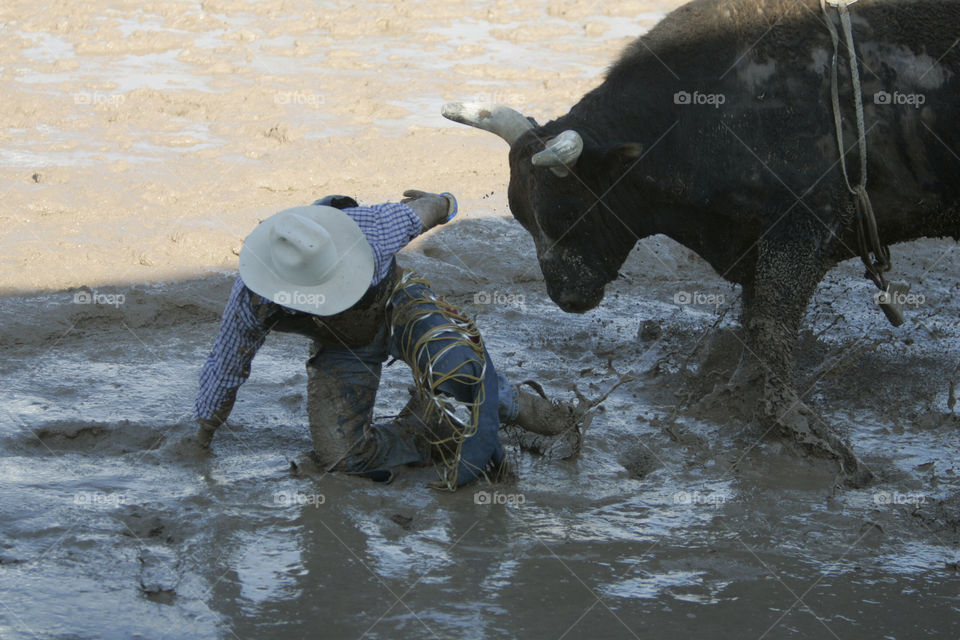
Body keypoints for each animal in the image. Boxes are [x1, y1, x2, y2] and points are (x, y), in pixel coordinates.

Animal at [442, 0, 960, 485]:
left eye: (568, 211)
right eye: (520, 214)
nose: (564, 295)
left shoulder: (803, 228)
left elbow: (771, 324)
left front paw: (795, 424)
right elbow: (754, 320)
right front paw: (736, 391)